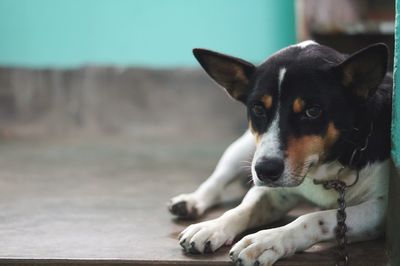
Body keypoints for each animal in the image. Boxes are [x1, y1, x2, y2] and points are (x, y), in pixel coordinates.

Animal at [167, 40, 392, 264]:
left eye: (312, 111)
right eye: (258, 108)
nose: (265, 170)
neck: (324, 169)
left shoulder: (380, 210)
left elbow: (315, 218)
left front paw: (267, 241)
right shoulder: (272, 190)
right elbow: (243, 208)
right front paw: (213, 226)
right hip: (244, 149)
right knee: (218, 178)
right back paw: (190, 201)